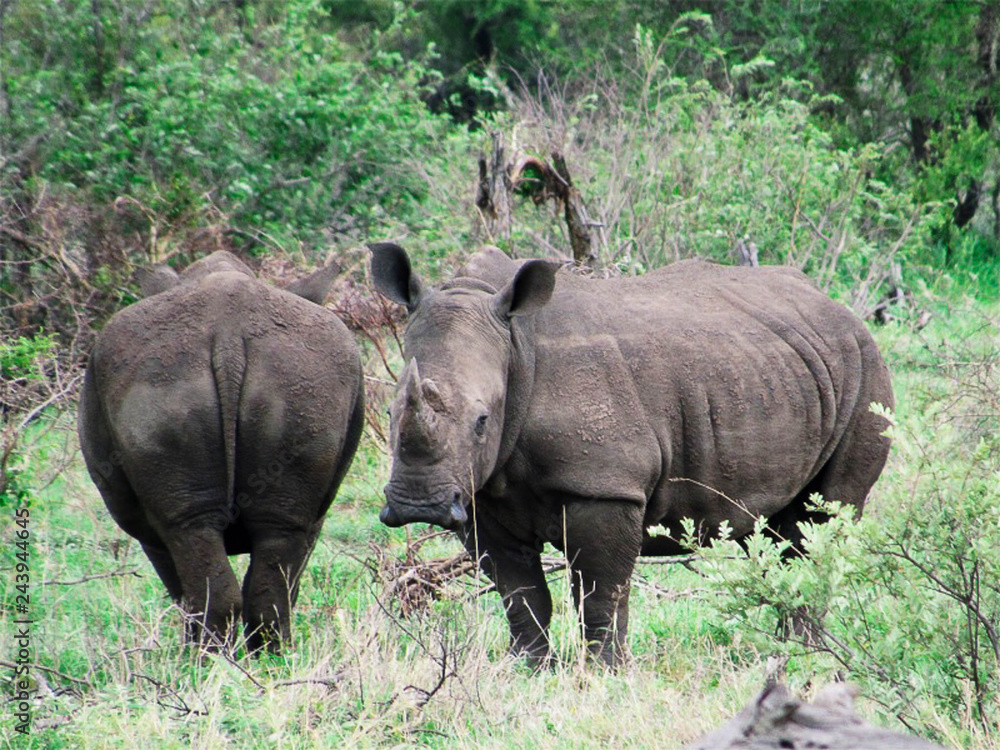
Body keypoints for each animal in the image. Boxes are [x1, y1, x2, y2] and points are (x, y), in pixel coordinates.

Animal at [79, 251, 364, 651]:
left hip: (162, 386)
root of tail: (229, 339)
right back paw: (272, 658)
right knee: (277, 528)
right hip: (303, 382)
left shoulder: (149, 528)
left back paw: (199, 659)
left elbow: (174, 578)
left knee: (190, 528)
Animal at [370, 242, 893, 667]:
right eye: (391, 412)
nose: (418, 505)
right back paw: (782, 653)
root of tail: (841, 310)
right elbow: (520, 595)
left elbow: (601, 591)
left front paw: (605, 673)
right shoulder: (481, 494)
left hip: (865, 367)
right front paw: (526, 669)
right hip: (780, 368)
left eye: (482, 420)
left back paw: (804, 659)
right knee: (775, 525)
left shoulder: (606, 485)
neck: (516, 349)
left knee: (822, 518)